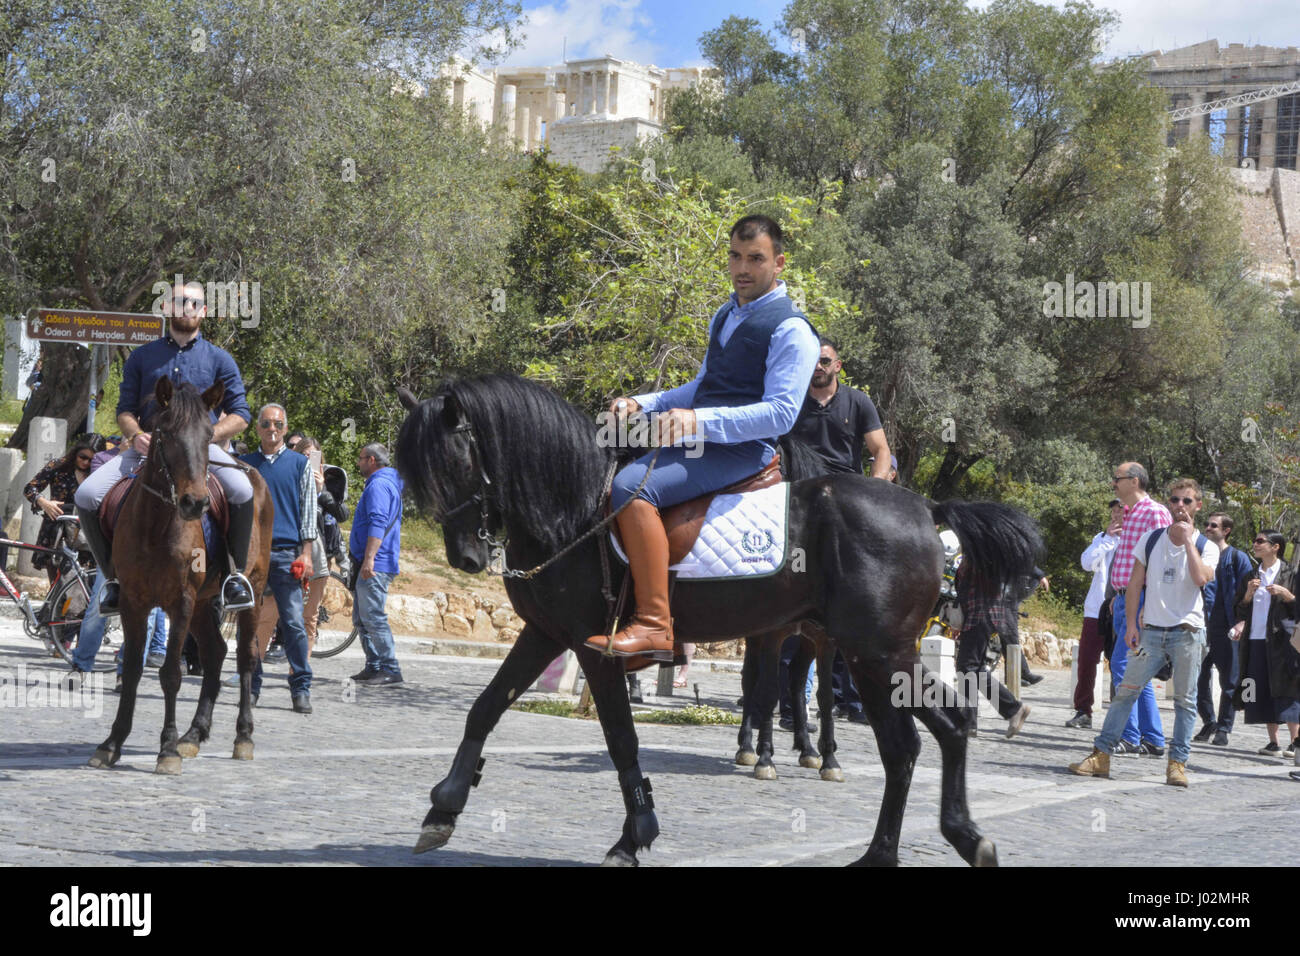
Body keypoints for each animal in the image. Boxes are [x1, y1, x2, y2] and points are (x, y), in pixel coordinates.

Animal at [87, 377, 273, 775]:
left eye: (208, 435)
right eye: (166, 433)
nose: (195, 503)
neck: (157, 524)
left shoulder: (181, 602)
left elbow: (171, 673)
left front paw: (167, 750)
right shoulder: (134, 602)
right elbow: (133, 669)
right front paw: (112, 743)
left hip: (253, 588)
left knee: (246, 657)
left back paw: (242, 737)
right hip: (204, 603)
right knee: (216, 652)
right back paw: (194, 734)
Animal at [395, 374, 1045, 868]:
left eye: (455, 462)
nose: (466, 557)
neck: (576, 508)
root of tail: (927, 509)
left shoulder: (593, 646)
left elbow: (621, 738)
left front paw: (634, 837)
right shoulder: (546, 633)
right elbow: (485, 708)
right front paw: (443, 806)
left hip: (875, 655)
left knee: (914, 739)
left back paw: (900, 845)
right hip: (878, 655)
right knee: (936, 732)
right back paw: (938, 841)